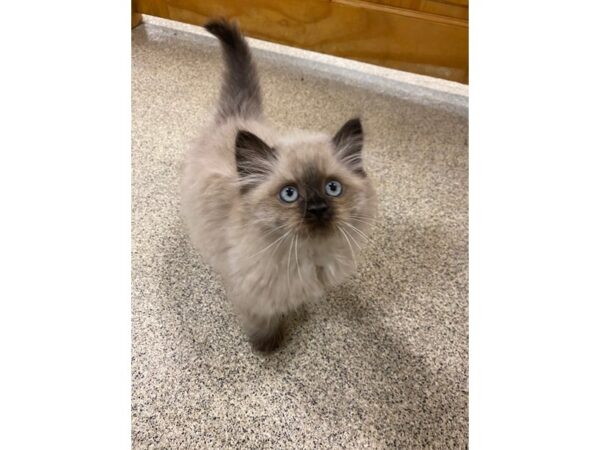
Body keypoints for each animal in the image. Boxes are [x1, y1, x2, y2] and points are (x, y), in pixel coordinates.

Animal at [180, 19, 378, 352]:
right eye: (289, 194)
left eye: (332, 188)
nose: (318, 208)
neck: (307, 255)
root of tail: (238, 114)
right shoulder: (253, 293)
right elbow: (263, 322)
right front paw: (268, 346)